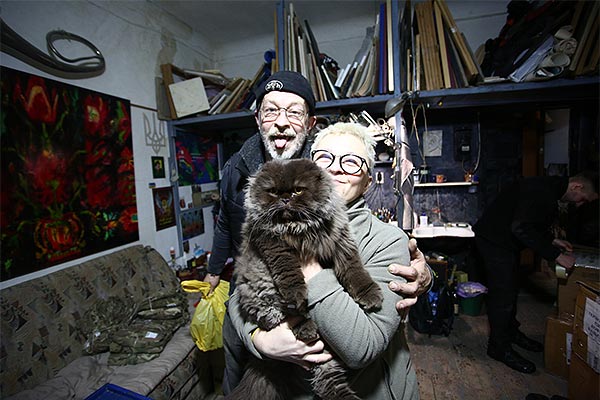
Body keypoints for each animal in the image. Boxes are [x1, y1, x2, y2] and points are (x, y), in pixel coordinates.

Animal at [225, 158, 384, 398]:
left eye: (298, 190)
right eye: (273, 192)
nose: (285, 199)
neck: (299, 228)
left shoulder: (341, 242)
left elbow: (355, 271)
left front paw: (370, 295)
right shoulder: (273, 245)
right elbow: (290, 274)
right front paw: (296, 292)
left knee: (328, 381)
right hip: (265, 291)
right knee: (287, 316)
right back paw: (307, 328)